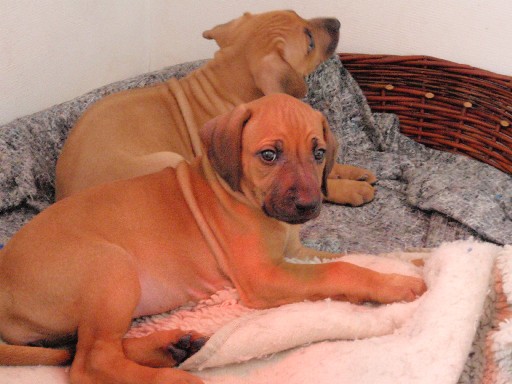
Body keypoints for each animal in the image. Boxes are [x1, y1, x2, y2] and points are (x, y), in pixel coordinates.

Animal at [0, 94, 424, 384]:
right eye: (269, 155)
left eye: (319, 153)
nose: (308, 206)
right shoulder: (266, 276)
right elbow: (342, 268)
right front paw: (395, 283)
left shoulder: (296, 252)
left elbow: (348, 255)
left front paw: (415, 260)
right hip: (111, 269)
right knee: (89, 362)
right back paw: (176, 377)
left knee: (85, 348)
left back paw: (173, 346)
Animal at [56, 9, 376, 206]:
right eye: (309, 41)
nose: (337, 22)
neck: (226, 87)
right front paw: (350, 190)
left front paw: (351, 172)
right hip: (168, 162)